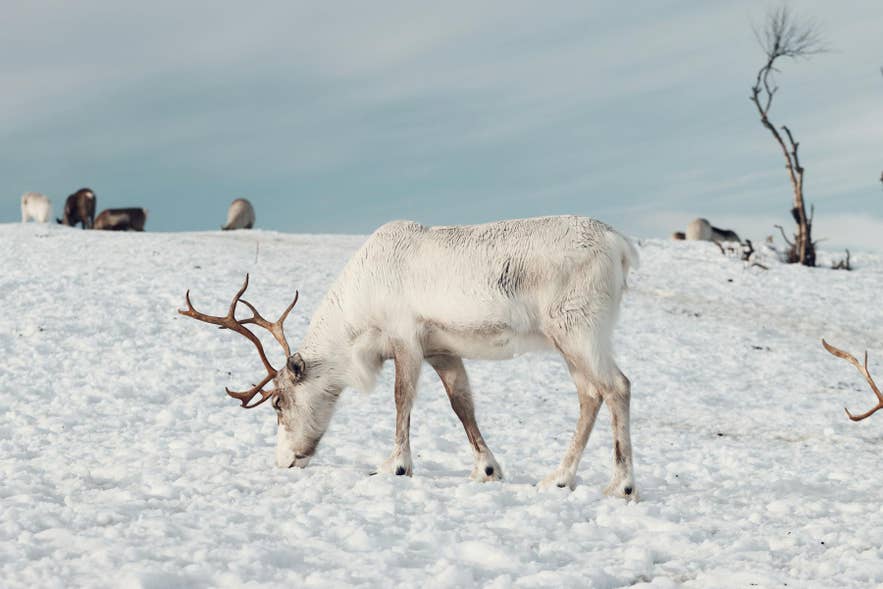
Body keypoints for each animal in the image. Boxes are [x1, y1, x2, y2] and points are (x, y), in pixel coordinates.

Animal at [179, 216, 640, 499]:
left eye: (278, 402)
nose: (285, 461)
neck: (356, 318)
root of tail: (620, 245)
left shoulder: (405, 339)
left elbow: (402, 399)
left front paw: (395, 465)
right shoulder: (442, 350)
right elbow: (462, 405)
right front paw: (486, 469)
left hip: (578, 330)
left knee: (617, 386)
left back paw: (622, 485)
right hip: (568, 340)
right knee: (590, 395)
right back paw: (559, 478)